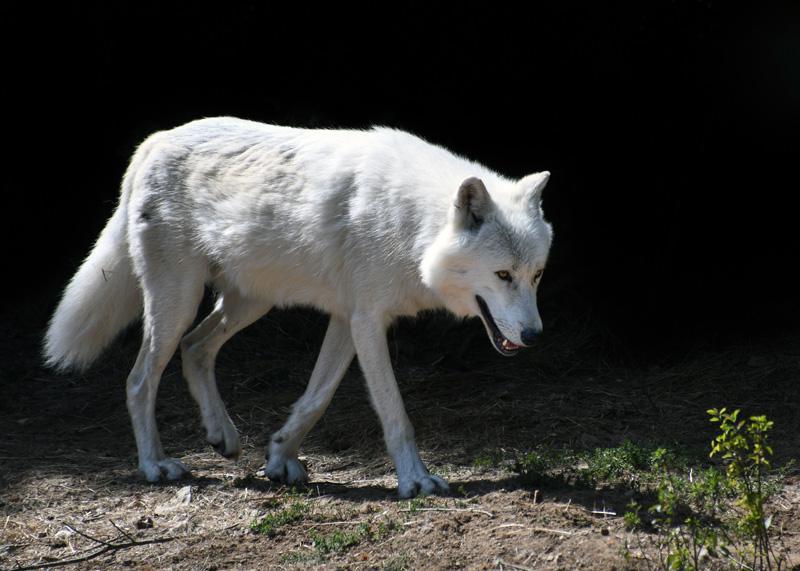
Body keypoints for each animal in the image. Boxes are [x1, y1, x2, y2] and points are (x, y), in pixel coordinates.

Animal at [44, 117, 553, 498]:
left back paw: (223, 435)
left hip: (249, 302)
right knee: (139, 379)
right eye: (502, 275)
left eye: (536, 275)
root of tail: (154, 141)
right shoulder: (368, 321)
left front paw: (279, 457)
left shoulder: (348, 320)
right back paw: (154, 465)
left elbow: (316, 398)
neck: (413, 226)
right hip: (178, 303)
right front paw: (416, 481)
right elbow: (395, 414)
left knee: (196, 348)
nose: (534, 337)